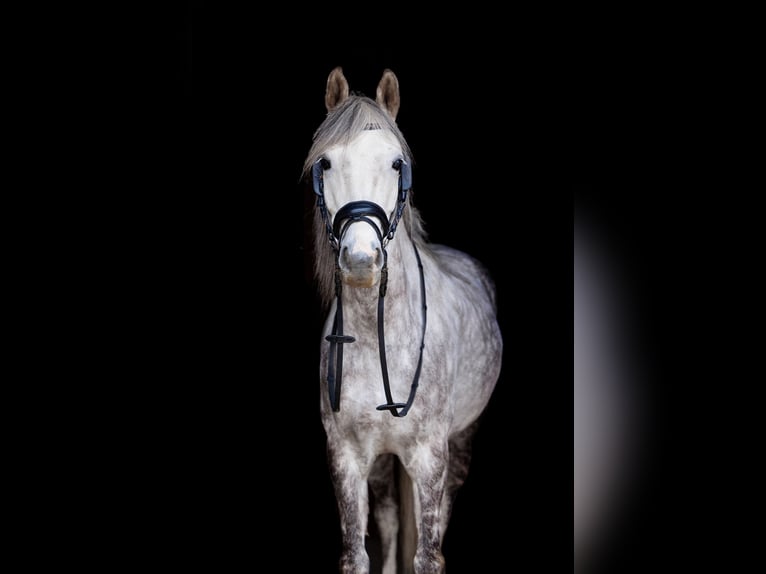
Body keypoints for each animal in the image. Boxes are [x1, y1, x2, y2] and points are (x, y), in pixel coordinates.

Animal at [303, 67, 503, 574]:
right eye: (325, 163)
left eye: (397, 163)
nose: (361, 260)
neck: (380, 340)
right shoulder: (347, 457)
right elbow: (358, 553)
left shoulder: (431, 458)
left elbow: (428, 554)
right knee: (392, 520)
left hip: (460, 443)